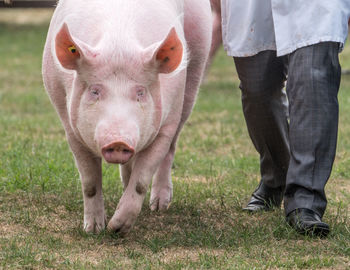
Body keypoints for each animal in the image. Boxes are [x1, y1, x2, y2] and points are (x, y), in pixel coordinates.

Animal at [41, 0, 211, 234]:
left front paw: (117, 228)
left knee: (172, 147)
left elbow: (141, 181)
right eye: (95, 91)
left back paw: (159, 206)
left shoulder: (164, 127)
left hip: (195, 66)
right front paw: (93, 229)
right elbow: (90, 182)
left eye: (140, 92)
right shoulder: (71, 128)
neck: (118, 44)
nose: (118, 141)